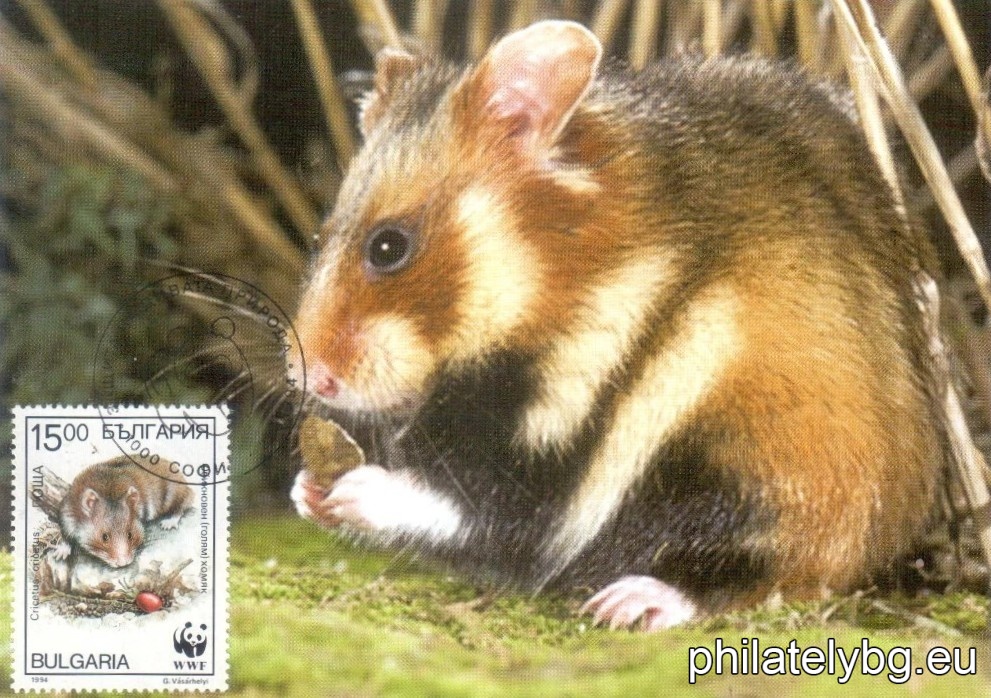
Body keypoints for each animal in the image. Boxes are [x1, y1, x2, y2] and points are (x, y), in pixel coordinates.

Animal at [56, 455, 195, 568]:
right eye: (104, 537)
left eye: (130, 535)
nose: (123, 564)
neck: (109, 491)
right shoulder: (66, 516)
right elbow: (65, 537)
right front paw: (59, 554)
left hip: (175, 494)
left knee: (180, 508)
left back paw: (167, 524)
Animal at [289, 20, 945, 630]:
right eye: (320, 237)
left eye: (389, 246)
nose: (309, 378)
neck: (559, 280)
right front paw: (304, 489)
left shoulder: (566, 425)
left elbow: (482, 507)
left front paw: (347, 488)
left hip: (764, 471)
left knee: (764, 572)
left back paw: (631, 602)